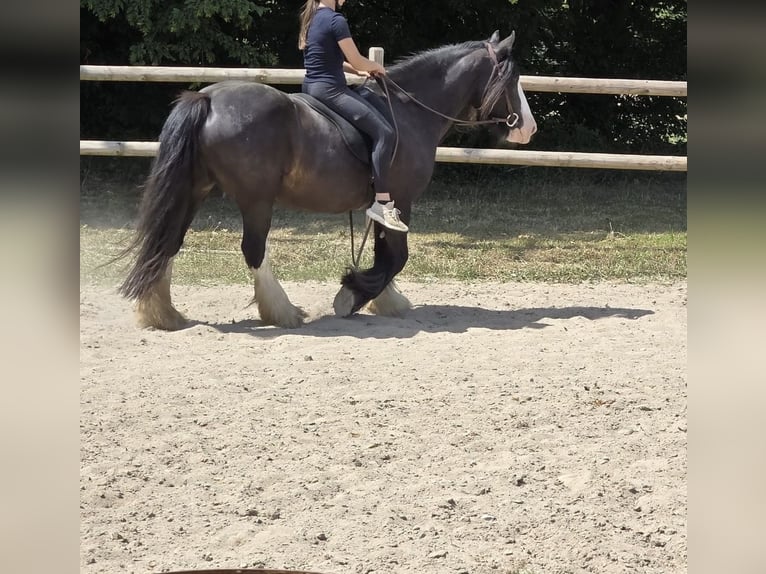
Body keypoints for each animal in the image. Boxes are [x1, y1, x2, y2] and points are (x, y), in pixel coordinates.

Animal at [118, 30, 537, 330]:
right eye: (512, 77)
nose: (529, 128)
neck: (408, 112)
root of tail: (205, 99)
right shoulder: (402, 199)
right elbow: (396, 256)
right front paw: (353, 295)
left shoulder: (384, 204)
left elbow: (384, 252)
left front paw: (383, 299)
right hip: (255, 199)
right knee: (253, 249)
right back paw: (283, 312)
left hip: (195, 189)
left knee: (168, 242)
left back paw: (164, 315)